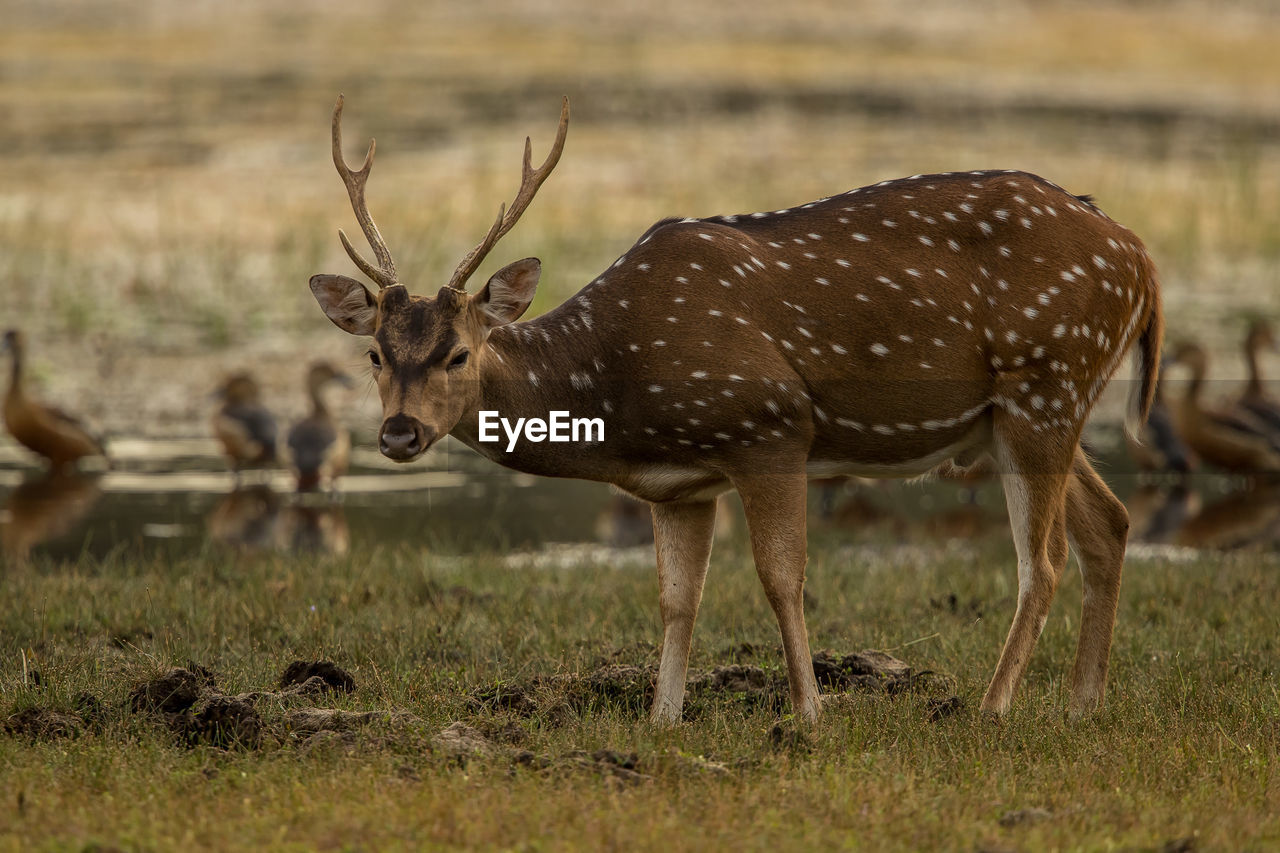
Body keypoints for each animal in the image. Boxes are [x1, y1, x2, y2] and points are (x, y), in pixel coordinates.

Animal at [307, 92, 1162, 722]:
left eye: (457, 352)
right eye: (374, 353)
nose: (399, 432)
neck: (625, 389)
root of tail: (1142, 257)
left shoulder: (771, 424)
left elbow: (781, 577)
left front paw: (810, 712)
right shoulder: (679, 485)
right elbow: (676, 598)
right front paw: (662, 716)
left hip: (1046, 379)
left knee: (1042, 559)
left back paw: (992, 706)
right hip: (1027, 410)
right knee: (1113, 522)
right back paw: (1085, 704)